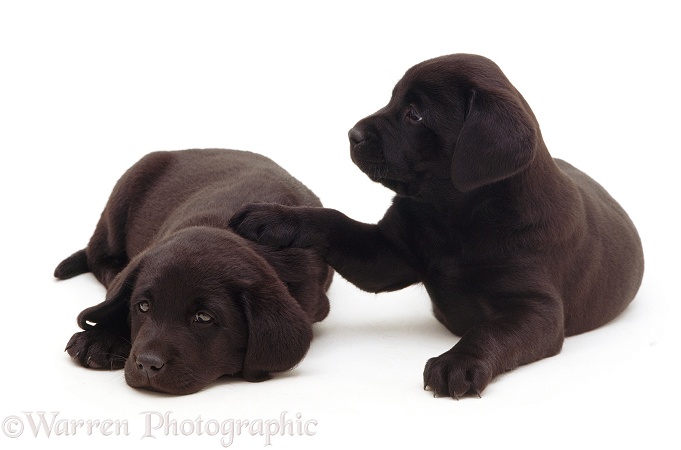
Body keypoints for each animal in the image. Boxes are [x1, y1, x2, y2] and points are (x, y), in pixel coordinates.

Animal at [54, 150, 330, 394]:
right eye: (143, 306)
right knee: (98, 257)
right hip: (122, 196)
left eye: (204, 317)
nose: (147, 364)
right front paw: (101, 337)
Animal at [231, 53, 644, 398]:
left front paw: (458, 363)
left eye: (414, 114)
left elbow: (490, 330)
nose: (352, 134)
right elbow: (334, 221)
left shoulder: (536, 308)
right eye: (394, 100)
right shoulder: (389, 254)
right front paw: (274, 218)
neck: (454, 216)